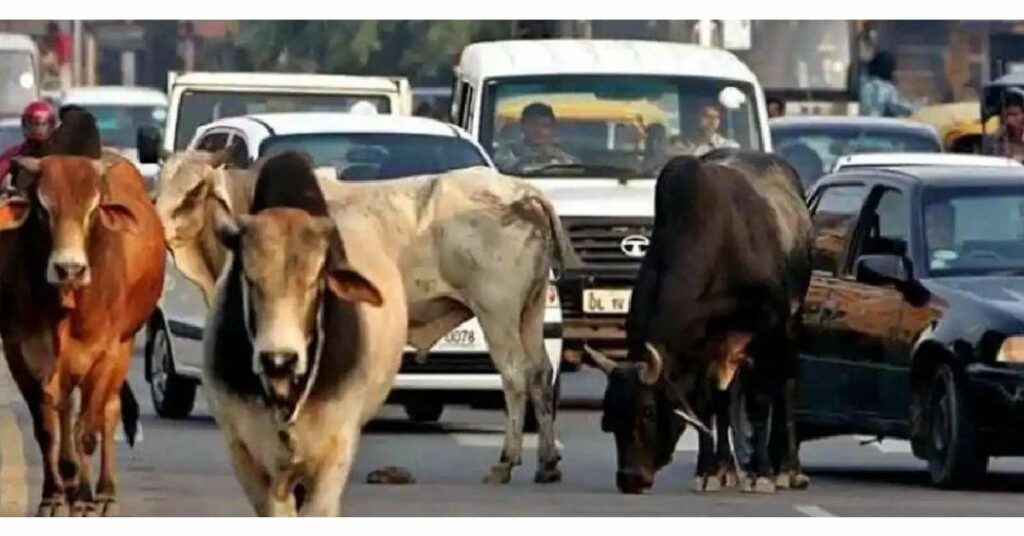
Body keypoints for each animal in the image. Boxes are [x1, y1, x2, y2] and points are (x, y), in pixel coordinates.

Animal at [0, 108, 162, 516]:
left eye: (92, 210)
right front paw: (53, 495)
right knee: (64, 413)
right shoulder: (21, 351)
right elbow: (47, 429)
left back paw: (101, 492)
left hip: (124, 344)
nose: (69, 269)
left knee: (108, 411)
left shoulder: (105, 352)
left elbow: (88, 429)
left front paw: (85, 497)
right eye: (43, 210)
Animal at [589, 149, 811, 496]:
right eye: (609, 415)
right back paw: (727, 468)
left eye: (648, 412)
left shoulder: (767, 328)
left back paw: (787, 470)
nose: (629, 479)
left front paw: (761, 474)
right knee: (723, 400)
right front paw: (708, 471)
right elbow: (706, 406)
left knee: (784, 386)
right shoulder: (701, 347)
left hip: (789, 327)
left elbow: (760, 402)